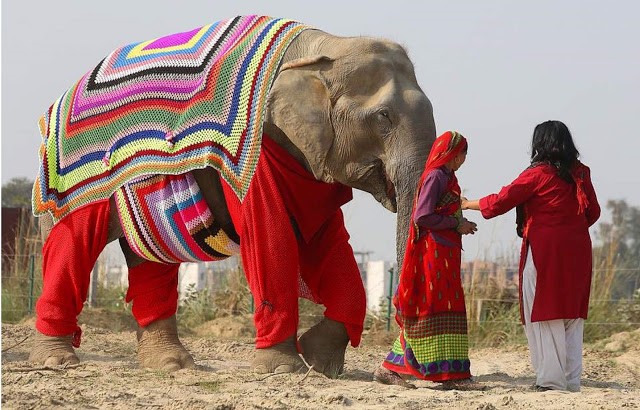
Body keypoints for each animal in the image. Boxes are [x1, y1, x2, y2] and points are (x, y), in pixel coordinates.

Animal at [28, 16, 435, 376]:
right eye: (383, 117)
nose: (390, 373)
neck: (325, 45)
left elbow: (328, 238)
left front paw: (320, 363)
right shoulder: (255, 152)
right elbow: (270, 234)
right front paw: (282, 369)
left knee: (151, 260)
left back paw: (172, 366)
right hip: (68, 179)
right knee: (71, 246)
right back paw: (57, 362)